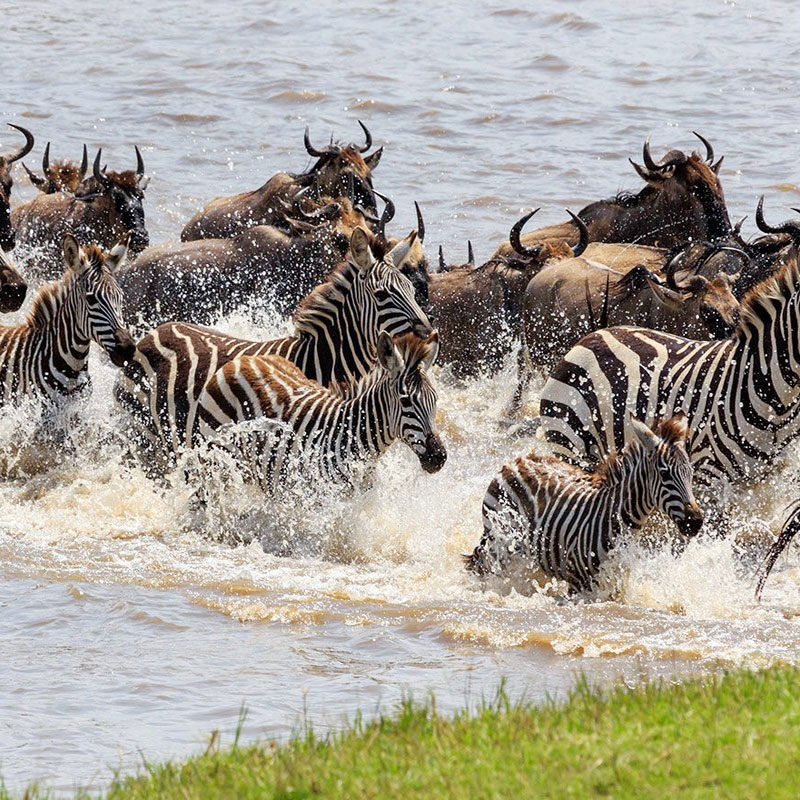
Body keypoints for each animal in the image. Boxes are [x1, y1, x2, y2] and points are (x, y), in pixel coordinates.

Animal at [113, 227, 432, 471]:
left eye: (411, 290)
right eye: (382, 294)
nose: (429, 333)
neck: (316, 361)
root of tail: (155, 332)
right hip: (144, 434)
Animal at [194, 330, 445, 490]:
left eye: (435, 400)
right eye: (406, 401)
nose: (439, 457)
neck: (352, 436)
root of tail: (240, 361)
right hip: (218, 458)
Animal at [465, 413, 702, 594]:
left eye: (691, 474)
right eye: (665, 474)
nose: (696, 522)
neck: (617, 519)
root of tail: (517, 461)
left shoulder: (613, 586)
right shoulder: (579, 584)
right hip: (498, 542)